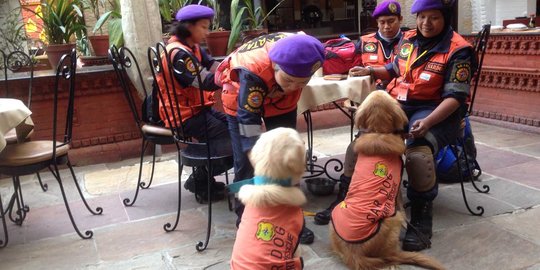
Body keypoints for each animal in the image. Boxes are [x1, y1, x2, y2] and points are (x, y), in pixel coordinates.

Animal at [330, 91, 442, 270]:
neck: (379, 131)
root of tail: (354, 255)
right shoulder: (396, 191)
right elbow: (401, 205)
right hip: (392, 219)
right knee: (391, 256)